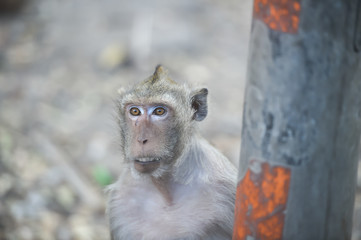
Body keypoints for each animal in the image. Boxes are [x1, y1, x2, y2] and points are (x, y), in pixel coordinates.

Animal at [107, 65, 236, 240]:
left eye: (159, 111)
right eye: (134, 111)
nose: (141, 139)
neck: (166, 189)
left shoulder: (228, 189)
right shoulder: (119, 205)